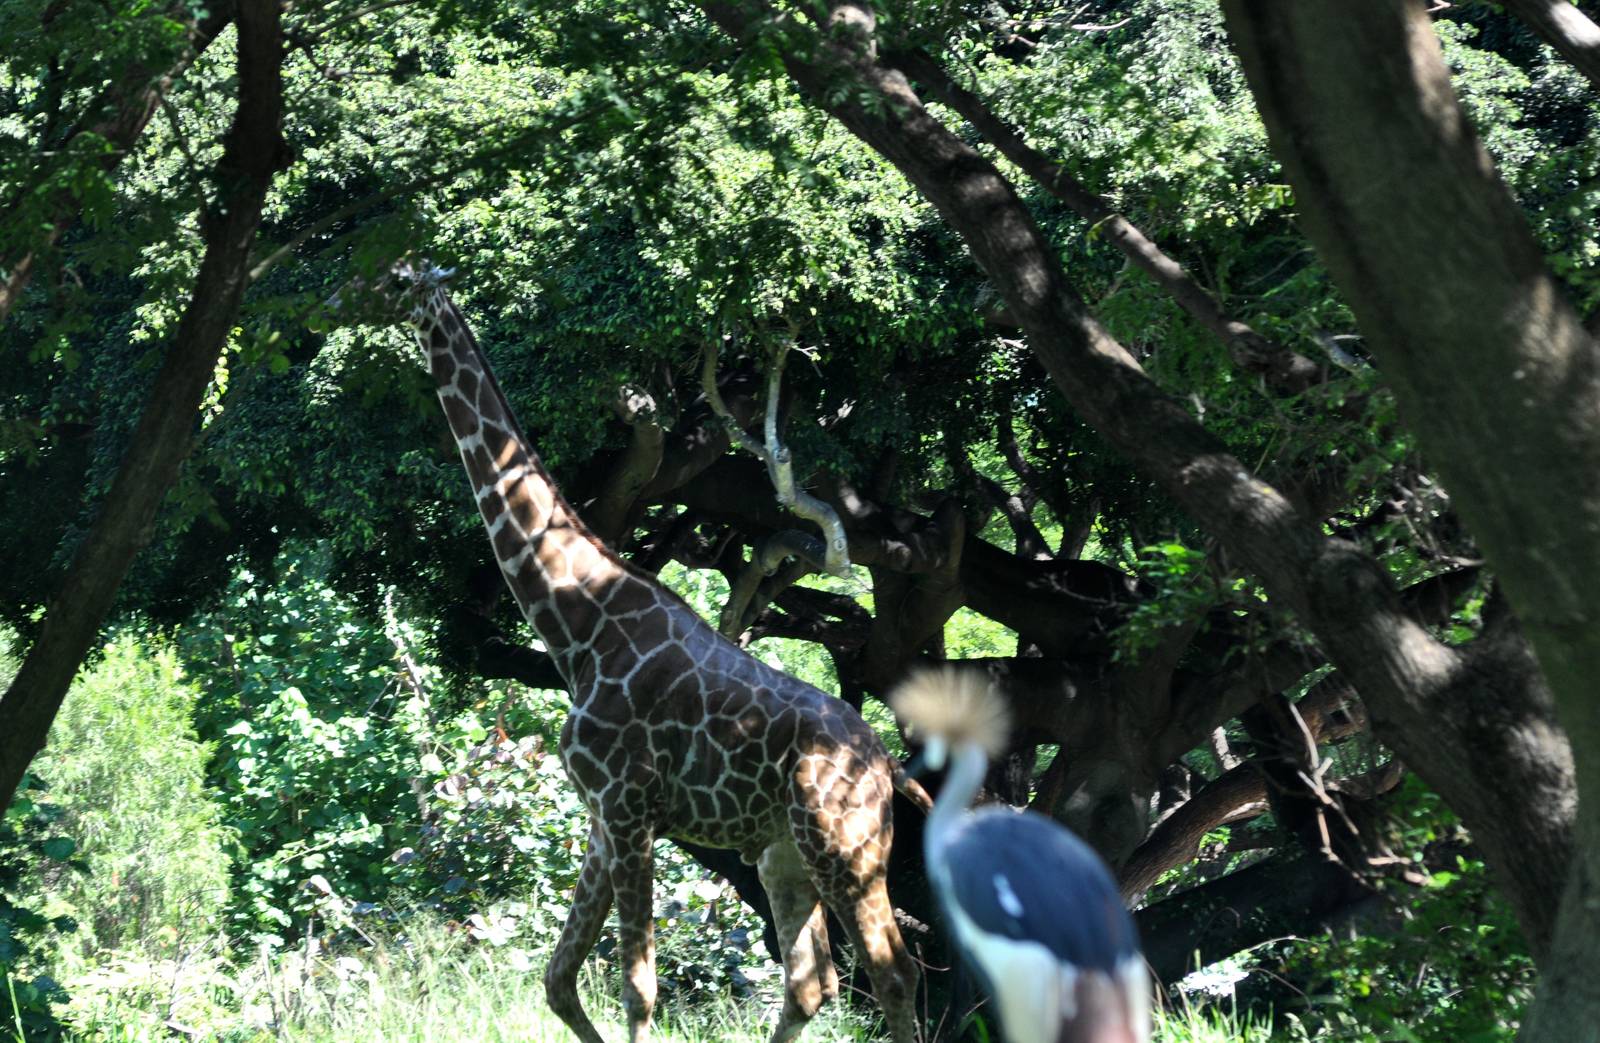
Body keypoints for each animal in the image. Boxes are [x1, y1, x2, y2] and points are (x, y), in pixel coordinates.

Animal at [390, 265, 928, 1043]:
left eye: (387, 279)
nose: (330, 306)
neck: (579, 628)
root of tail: (887, 764)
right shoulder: (602, 816)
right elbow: (559, 978)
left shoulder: (629, 808)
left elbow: (637, 987)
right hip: (784, 855)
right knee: (812, 982)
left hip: (847, 852)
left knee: (893, 975)